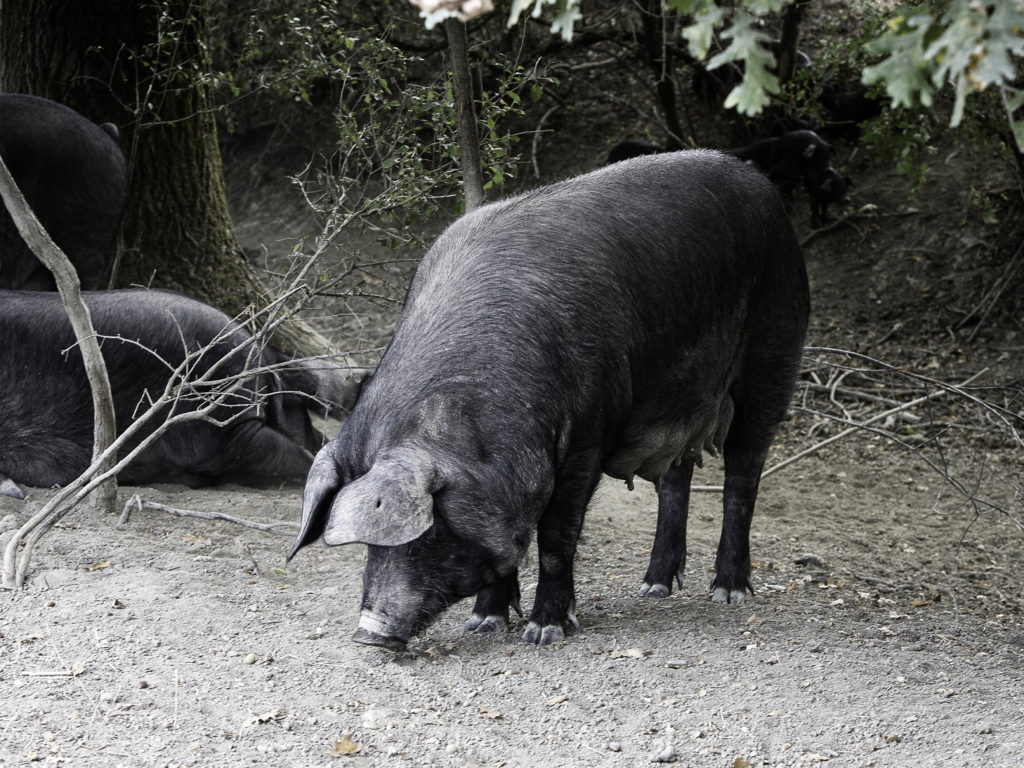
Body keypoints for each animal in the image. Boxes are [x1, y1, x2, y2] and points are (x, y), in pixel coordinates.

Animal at [288, 150, 806, 651]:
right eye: (369, 546)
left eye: (426, 534)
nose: (369, 634)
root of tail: (762, 184)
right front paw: (484, 625)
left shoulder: (586, 440)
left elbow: (557, 538)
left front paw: (544, 632)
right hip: (680, 400)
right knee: (676, 477)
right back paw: (654, 588)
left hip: (774, 352)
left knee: (743, 475)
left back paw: (728, 592)